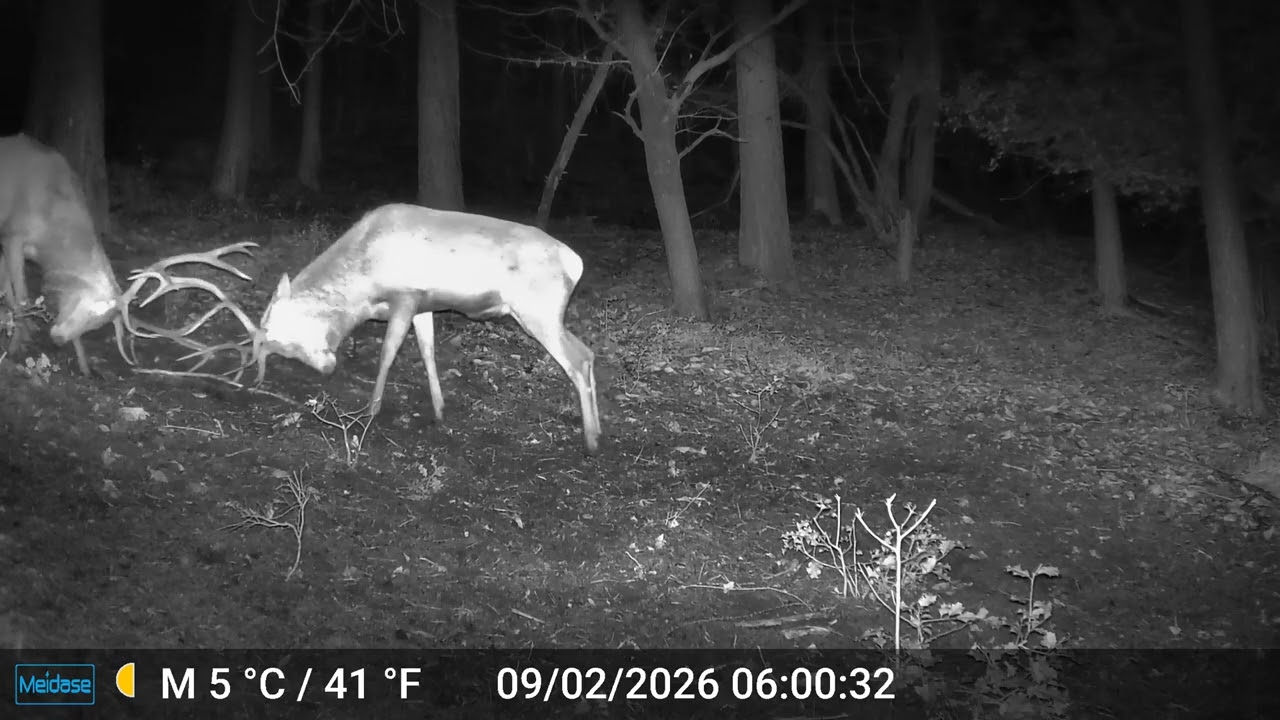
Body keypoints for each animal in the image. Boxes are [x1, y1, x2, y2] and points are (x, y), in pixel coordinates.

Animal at [252, 203, 602, 455]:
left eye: (283, 336)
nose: (326, 367)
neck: (363, 284)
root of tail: (577, 264)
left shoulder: (405, 296)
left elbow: (388, 353)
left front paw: (371, 410)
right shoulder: (424, 306)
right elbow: (428, 351)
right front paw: (439, 409)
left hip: (537, 311)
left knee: (576, 360)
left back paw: (590, 442)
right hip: (547, 315)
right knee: (587, 352)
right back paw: (597, 430)